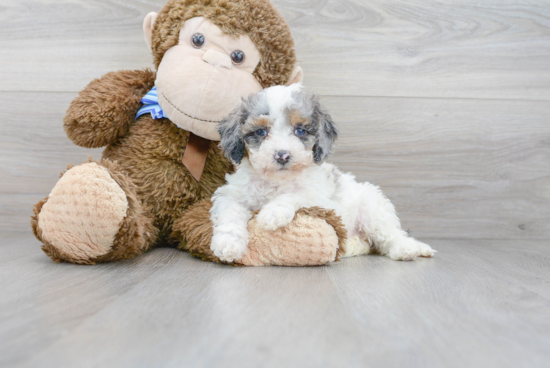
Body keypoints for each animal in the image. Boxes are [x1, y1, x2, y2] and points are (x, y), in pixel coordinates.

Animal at [209, 84, 438, 262]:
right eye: (261, 132)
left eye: (300, 131)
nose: (282, 155)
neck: (277, 181)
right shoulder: (231, 195)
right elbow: (230, 213)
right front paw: (228, 243)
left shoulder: (323, 200)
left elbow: (296, 194)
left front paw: (272, 213)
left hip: (373, 210)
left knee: (390, 235)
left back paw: (407, 248)